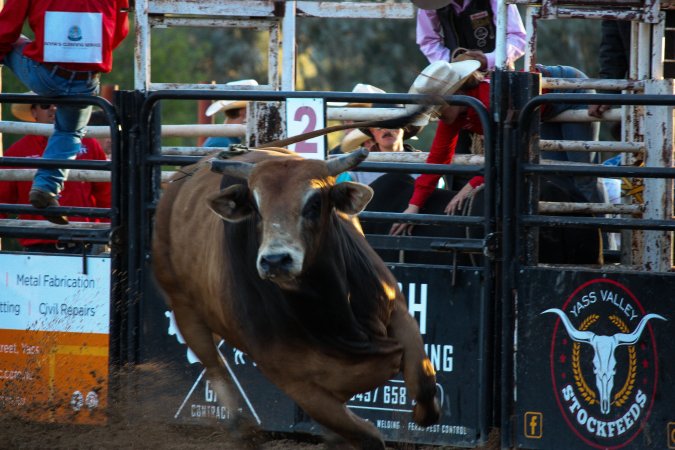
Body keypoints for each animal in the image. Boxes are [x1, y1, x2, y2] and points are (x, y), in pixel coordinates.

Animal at [151, 147, 440, 449]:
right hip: (184, 310)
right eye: (256, 208)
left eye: (314, 204)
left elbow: (423, 384)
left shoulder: (399, 311)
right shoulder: (292, 380)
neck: (329, 310)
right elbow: (366, 435)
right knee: (214, 364)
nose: (275, 260)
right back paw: (241, 429)